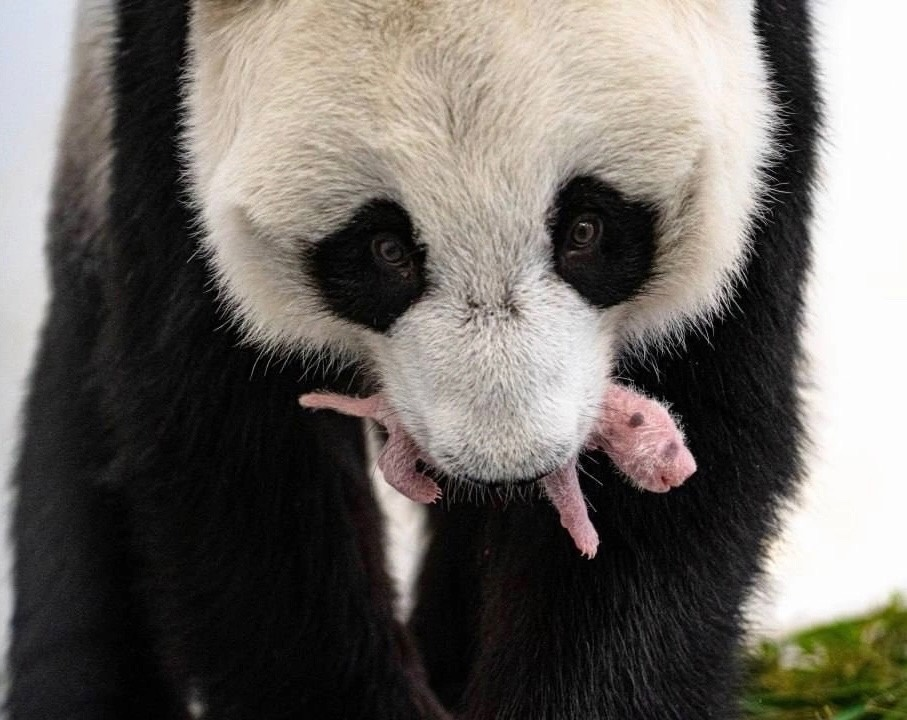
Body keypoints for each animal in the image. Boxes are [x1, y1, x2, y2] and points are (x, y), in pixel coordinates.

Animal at [7, 0, 820, 716]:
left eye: (585, 229)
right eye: (384, 249)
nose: (507, 469)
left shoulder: (763, 112)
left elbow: (697, 439)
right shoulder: (166, 110)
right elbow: (235, 454)